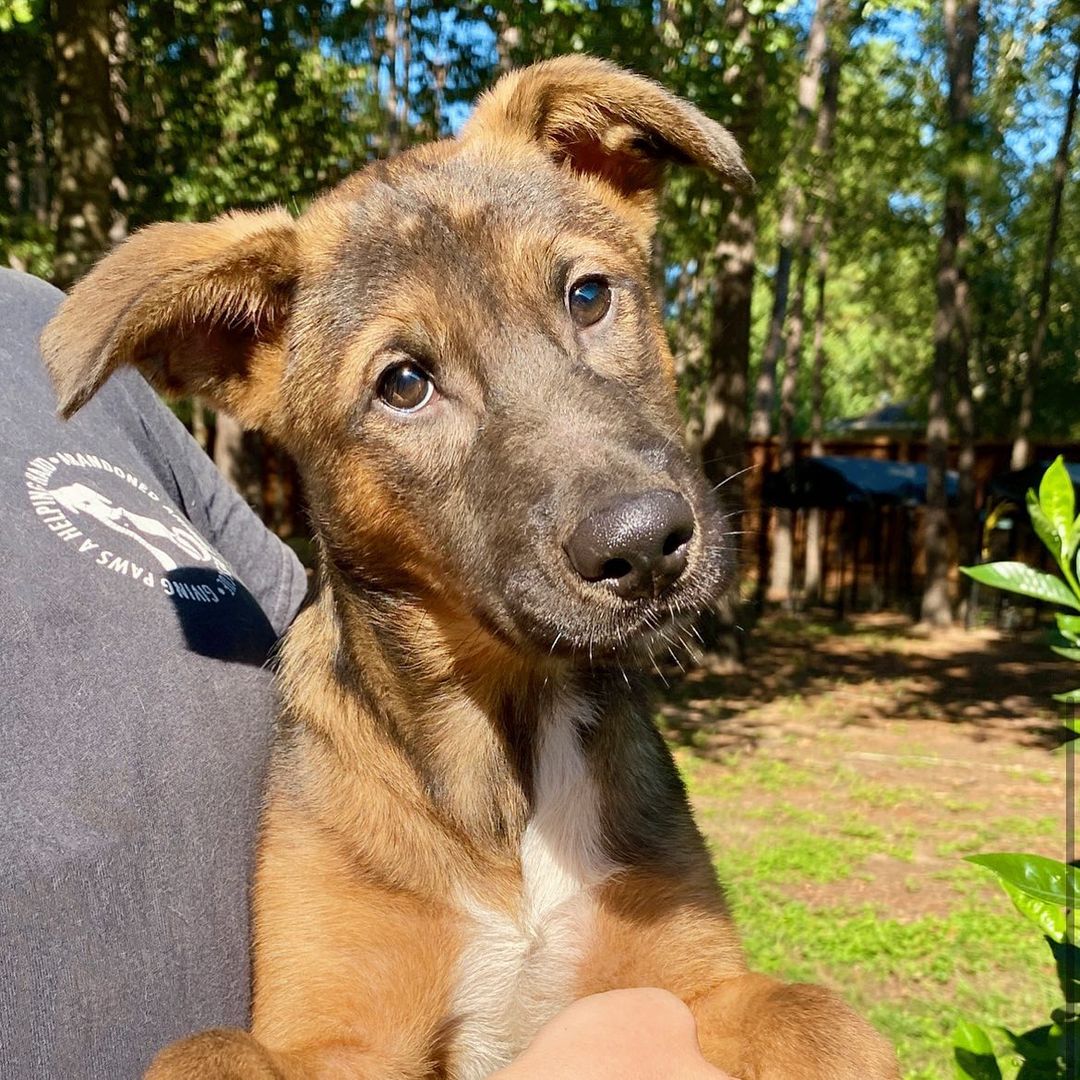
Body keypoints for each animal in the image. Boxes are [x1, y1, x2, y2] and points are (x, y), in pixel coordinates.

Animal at [42, 56, 894, 1080]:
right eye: (404, 384)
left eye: (588, 296)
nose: (648, 546)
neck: (507, 775)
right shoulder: (335, 1034)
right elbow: (208, 1050)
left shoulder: (694, 980)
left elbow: (825, 1021)